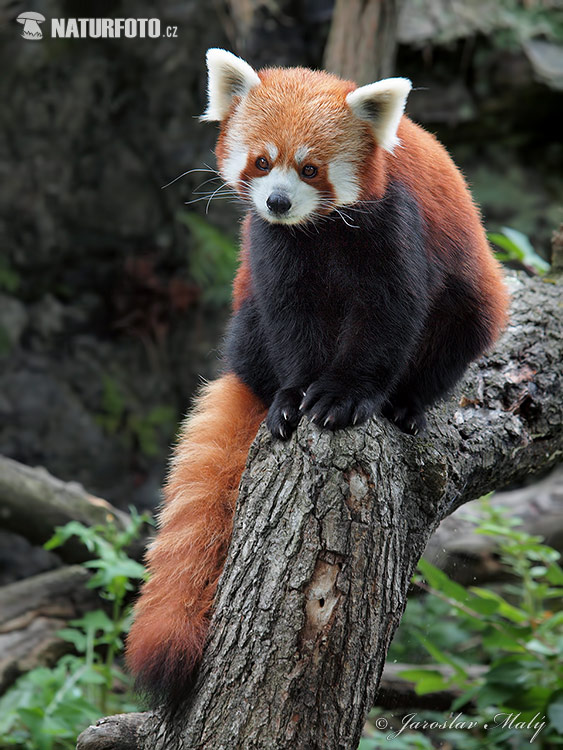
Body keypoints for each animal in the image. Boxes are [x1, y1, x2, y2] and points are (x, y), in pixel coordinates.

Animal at [126, 48, 512, 712]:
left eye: (309, 169)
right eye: (262, 162)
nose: (278, 202)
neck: (320, 231)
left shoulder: (393, 228)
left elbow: (388, 317)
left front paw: (344, 398)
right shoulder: (274, 250)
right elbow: (293, 320)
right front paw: (297, 397)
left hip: (473, 295)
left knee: (460, 326)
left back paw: (407, 404)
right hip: (245, 321)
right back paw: (273, 395)